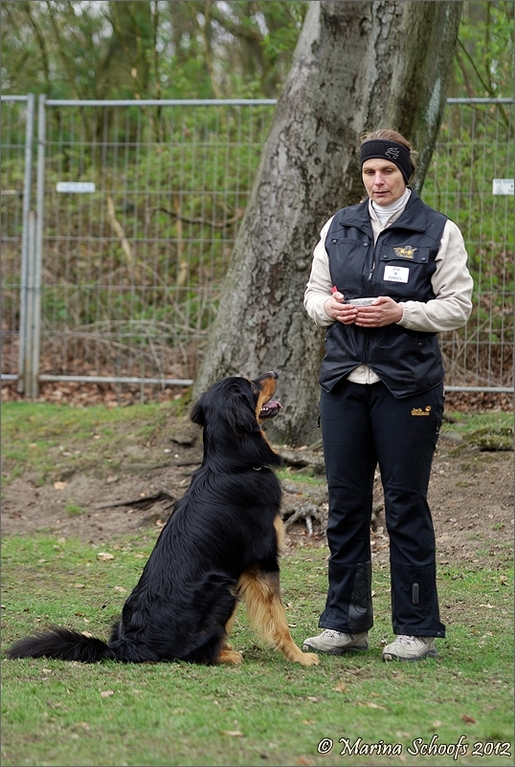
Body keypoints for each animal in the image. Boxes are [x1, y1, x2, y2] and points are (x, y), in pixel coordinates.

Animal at [8, 372, 320, 664]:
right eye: (251, 384)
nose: (275, 372)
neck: (233, 465)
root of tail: (124, 646)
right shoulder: (262, 561)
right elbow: (279, 619)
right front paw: (299, 657)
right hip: (223, 588)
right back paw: (225, 654)